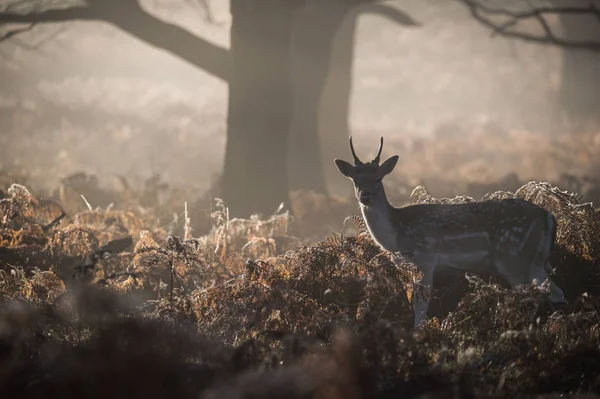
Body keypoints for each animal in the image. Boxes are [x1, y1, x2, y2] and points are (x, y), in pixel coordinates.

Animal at [336, 136, 564, 330]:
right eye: (355, 180)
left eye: (378, 178)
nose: (365, 196)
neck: (397, 235)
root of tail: (548, 217)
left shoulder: (425, 259)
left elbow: (421, 304)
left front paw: (418, 334)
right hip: (535, 261)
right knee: (556, 292)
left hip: (514, 257)